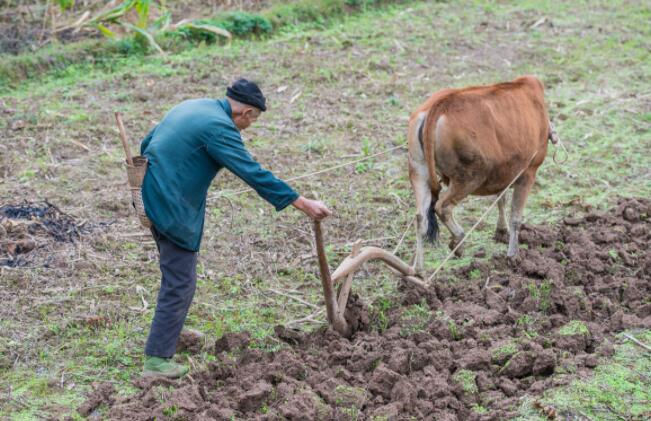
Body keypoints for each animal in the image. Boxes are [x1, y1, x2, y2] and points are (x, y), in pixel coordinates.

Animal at [408, 75, 556, 272]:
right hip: (469, 178)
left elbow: (501, 199)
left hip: (418, 172)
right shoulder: (528, 172)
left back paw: (418, 271)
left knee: (421, 217)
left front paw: (501, 232)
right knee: (443, 207)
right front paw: (513, 256)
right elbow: (516, 216)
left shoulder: (505, 172)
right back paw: (458, 241)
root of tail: (439, 106)